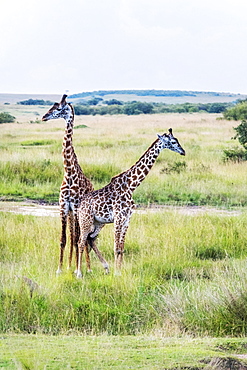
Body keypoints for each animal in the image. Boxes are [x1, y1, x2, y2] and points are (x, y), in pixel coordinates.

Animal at [42, 94, 108, 274]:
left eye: (59, 108)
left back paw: (87, 268)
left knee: (83, 238)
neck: (69, 173)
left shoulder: (77, 207)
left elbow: (80, 239)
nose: (44, 117)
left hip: (81, 213)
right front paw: (60, 269)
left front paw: (82, 270)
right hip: (72, 214)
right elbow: (64, 239)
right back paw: (71, 266)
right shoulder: (64, 207)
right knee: (74, 236)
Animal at [76, 129, 184, 276]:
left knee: (90, 239)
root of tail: (80, 204)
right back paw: (79, 273)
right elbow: (116, 247)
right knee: (80, 242)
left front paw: (119, 272)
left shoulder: (127, 219)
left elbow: (121, 247)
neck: (131, 186)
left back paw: (106, 267)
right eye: (173, 142)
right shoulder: (118, 217)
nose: (183, 151)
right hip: (85, 220)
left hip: (98, 222)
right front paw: (117, 273)